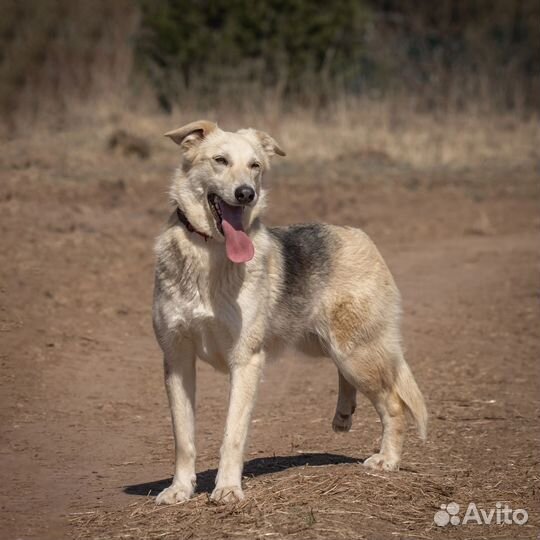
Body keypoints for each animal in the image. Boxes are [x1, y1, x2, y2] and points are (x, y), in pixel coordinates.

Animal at [151, 120, 426, 504]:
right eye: (220, 160)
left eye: (255, 166)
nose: (247, 193)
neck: (208, 255)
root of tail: (359, 235)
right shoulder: (177, 359)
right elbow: (183, 437)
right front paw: (180, 489)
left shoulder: (246, 360)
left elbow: (232, 434)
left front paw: (228, 488)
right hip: (323, 345)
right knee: (351, 381)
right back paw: (344, 414)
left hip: (356, 353)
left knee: (394, 405)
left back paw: (387, 459)